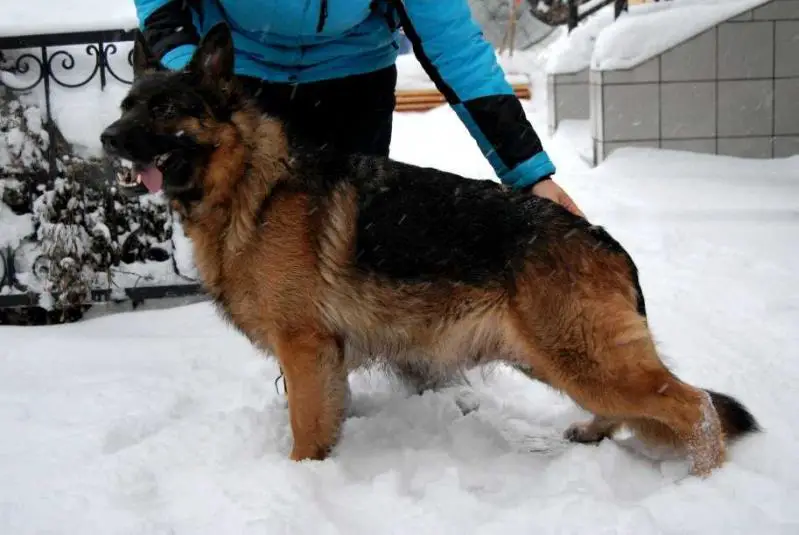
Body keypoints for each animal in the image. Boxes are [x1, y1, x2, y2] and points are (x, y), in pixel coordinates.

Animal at [100, 23, 758, 476]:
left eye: (164, 109)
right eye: (126, 106)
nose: (106, 139)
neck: (249, 185)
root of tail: (600, 237)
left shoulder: (305, 348)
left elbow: (306, 433)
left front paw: (300, 483)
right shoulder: (322, 359)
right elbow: (325, 419)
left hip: (581, 358)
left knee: (697, 405)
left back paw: (704, 480)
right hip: (554, 358)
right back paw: (598, 434)